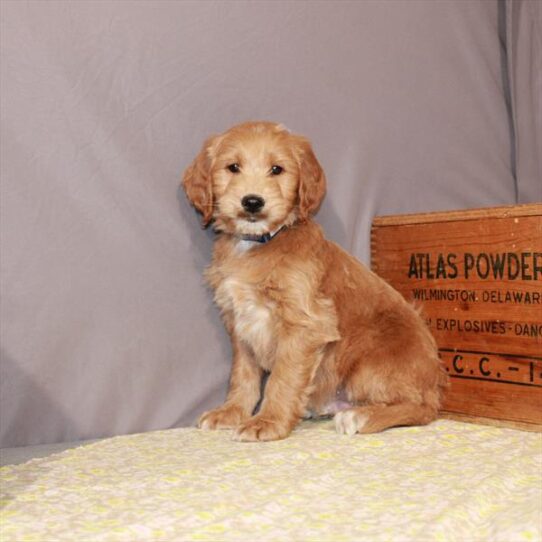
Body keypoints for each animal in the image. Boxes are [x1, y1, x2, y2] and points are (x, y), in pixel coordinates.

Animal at [185, 122, 448, 442]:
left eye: (277, 169)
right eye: (233, 167)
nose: (252, 201)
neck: (259, 243)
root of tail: (435, 379)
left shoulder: (305, 323)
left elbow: (282, 378)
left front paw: (268, 421)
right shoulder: (238, 322)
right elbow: (243, 375)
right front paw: (231, 412)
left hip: (370, 362)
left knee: (422, 409)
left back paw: (360, 416)